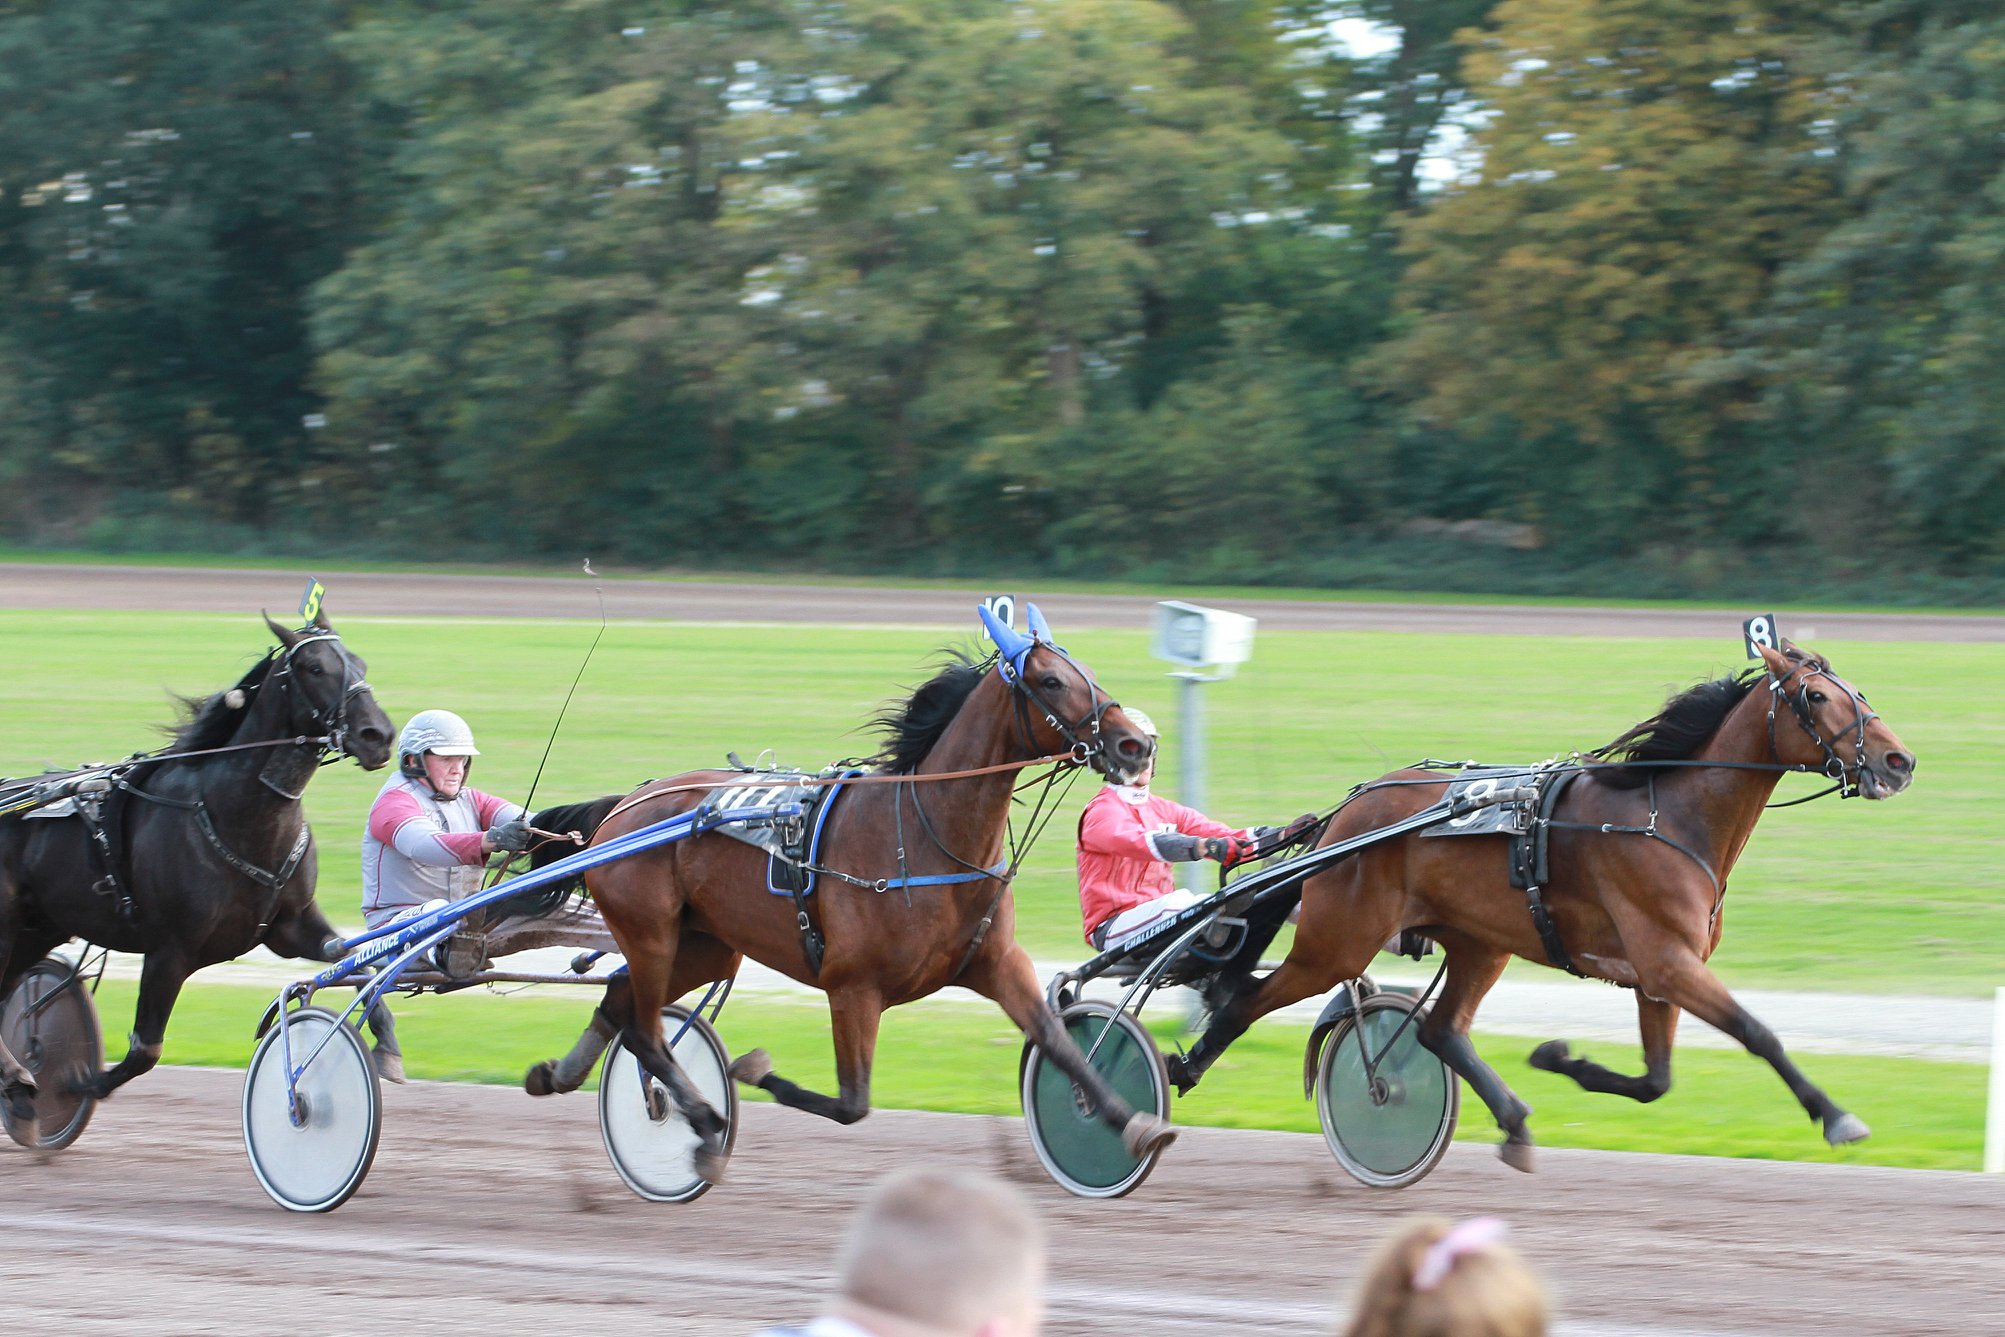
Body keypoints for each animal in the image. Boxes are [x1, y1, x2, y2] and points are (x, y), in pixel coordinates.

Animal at [0, 613, 392, 1138]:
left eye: (360, 663)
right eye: (314, 667)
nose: (378, 735)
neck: (230, 811)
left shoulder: (292, 926)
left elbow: (359, 963)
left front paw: (386, 1042)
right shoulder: (171, 950)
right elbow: (145, 1050)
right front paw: (78, 1083)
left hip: (38, 928)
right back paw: (21, 1079)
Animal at [525, 605, 1170, 1178]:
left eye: (1088, 671)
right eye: (1052, 681)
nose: (1136, 745)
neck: (922, 832)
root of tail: (624, 806)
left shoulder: (999, 963)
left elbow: (1061, 1046)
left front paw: (1134, 1122)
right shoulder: (852, 985)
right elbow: (852, 1104)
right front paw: (754, 1069)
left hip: (705, 946)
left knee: (619, 1003)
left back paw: (558, 1075)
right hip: (651, 932)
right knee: (644, 1029)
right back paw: (705, 1125)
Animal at [1170, 641, 1916, 1162]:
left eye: (1855, 689)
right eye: (1816, 697)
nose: (1898, 761)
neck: (1667, 814)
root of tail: (1347, 814)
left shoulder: (1659, 971)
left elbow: (1656, 1080)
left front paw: (1561, 1059)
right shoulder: (1668, 960)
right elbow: (1758, 1032)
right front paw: (1835, 1115)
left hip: (1480, 941)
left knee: (1439, 1030)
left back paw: (1515, 1122)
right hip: (1338, 941)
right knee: (1245, 1001)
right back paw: (1179, 1068)